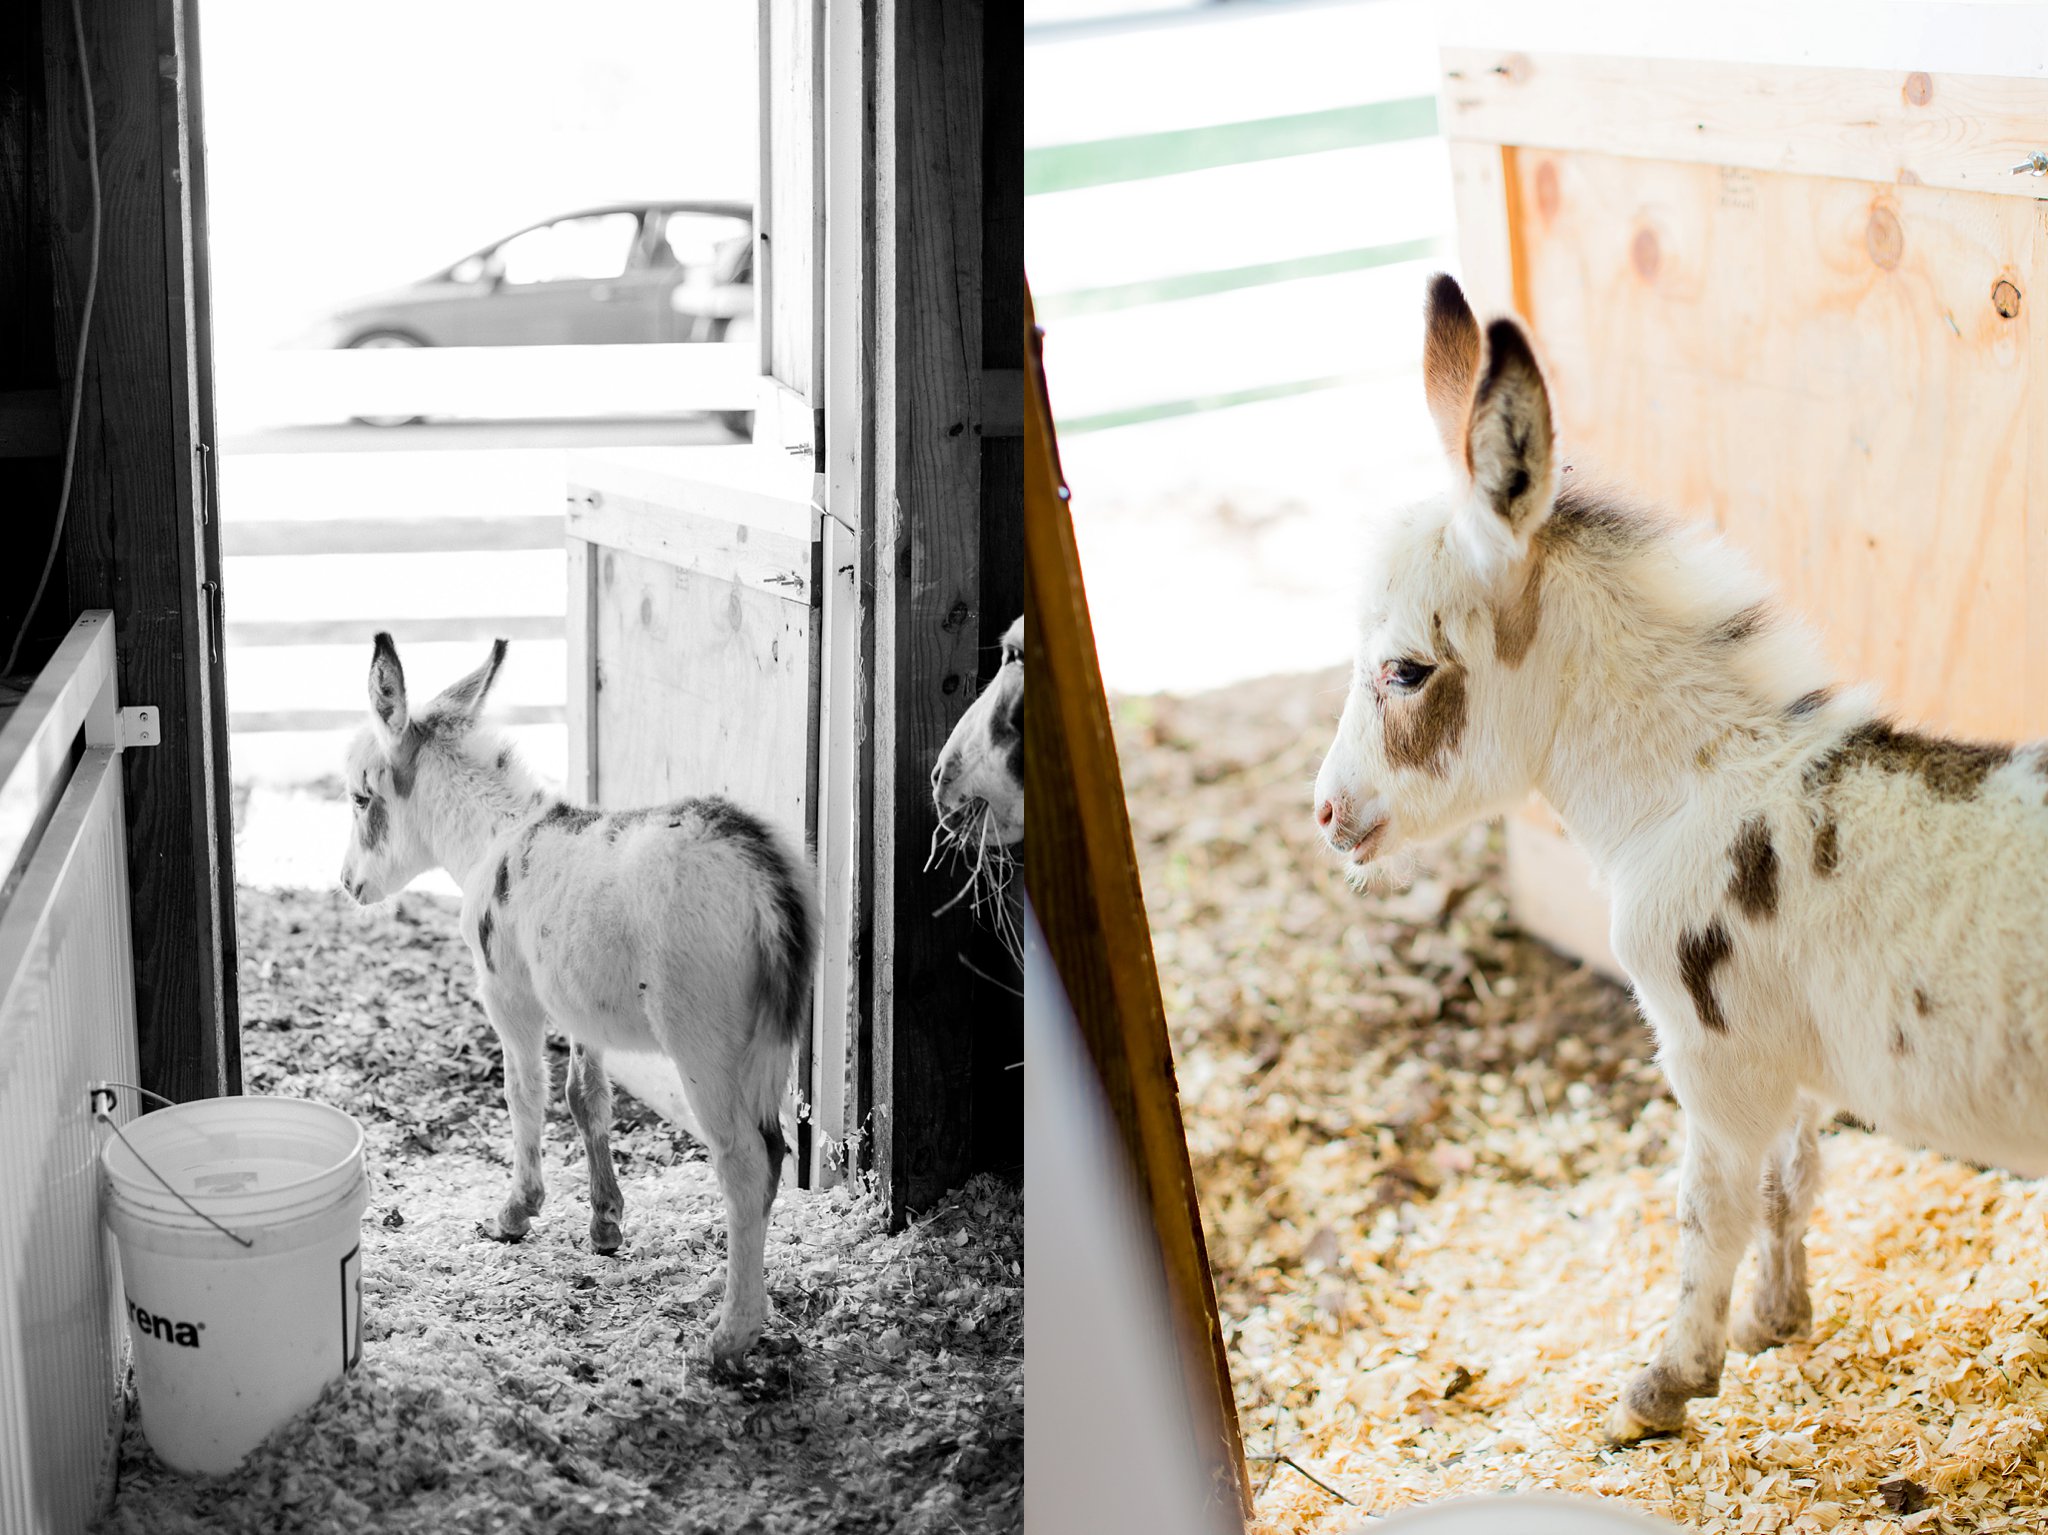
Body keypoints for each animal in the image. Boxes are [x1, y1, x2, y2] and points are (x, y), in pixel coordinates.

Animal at [339, 638, 811, 1367]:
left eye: (362, 797)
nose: (346, 884)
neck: (496, 835)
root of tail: (763, 873)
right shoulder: (580, 1012)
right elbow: (587, 1100)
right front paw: (605, 1221)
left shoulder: (509, 997)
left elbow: (523, 1094)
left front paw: (516, 1212)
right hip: (773, 1043)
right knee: (774, 1153)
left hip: (706, 1045)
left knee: (745, 1162)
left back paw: (731, 1333)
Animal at [1310, 274, 2048, 1440]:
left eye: (1405, 669)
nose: (1328, 813)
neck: (1698, 782)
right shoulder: (1774, 1056)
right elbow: (1789, 1181)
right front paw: (1773, 1322)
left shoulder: (1711, 1054)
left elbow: (1709, 1206)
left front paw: (1664, 1386)